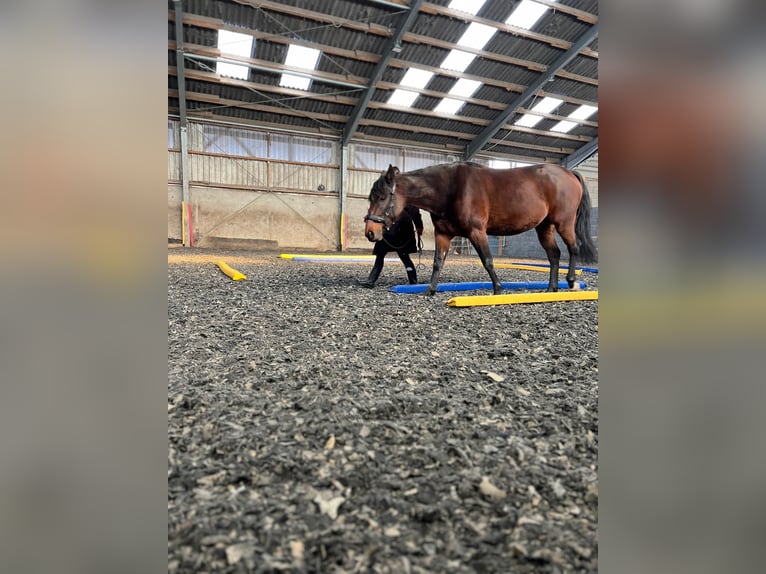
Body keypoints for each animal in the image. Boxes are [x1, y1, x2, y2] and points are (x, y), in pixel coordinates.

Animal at [363, 162, 597, 296]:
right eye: (371, 197)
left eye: (382, 197)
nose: (370, 232)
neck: (449, 189)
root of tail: (569, 172)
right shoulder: (443, 234)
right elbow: (438, 262)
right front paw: (430, 290)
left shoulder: (477, 232)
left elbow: (487, 260)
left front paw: (498, 289)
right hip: (544, 227)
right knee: (554, 255)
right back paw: (550, 289)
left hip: (564, 223)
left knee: (573, 248)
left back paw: (571, 281)